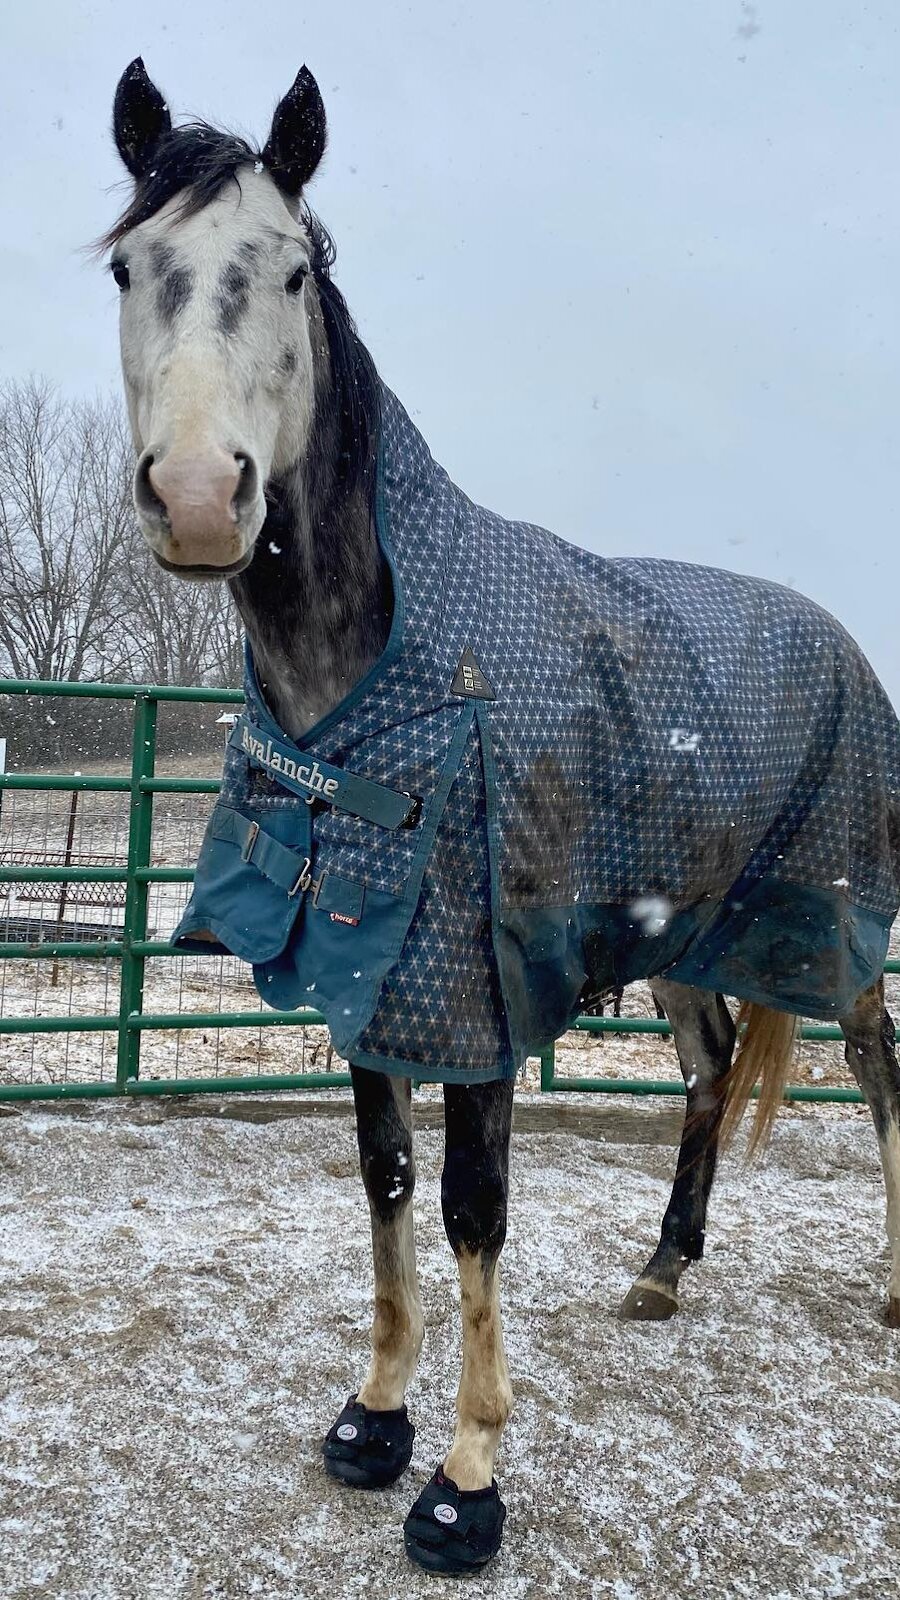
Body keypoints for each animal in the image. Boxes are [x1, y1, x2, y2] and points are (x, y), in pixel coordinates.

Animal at [101, 59, 900, 1575]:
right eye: (127, 266)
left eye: (294, 272)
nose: (200, 499)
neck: (384, 678)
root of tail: (833, 635)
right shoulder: (370, 975)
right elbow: (386, 1177)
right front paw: (373, 1420)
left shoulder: (467, 985)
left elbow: (475, 1204)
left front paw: (465, 1483)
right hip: (681, 931)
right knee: (711, 1071)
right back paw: (661, 1271)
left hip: (836, 927)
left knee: (883, 1073)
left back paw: (891, 1282)